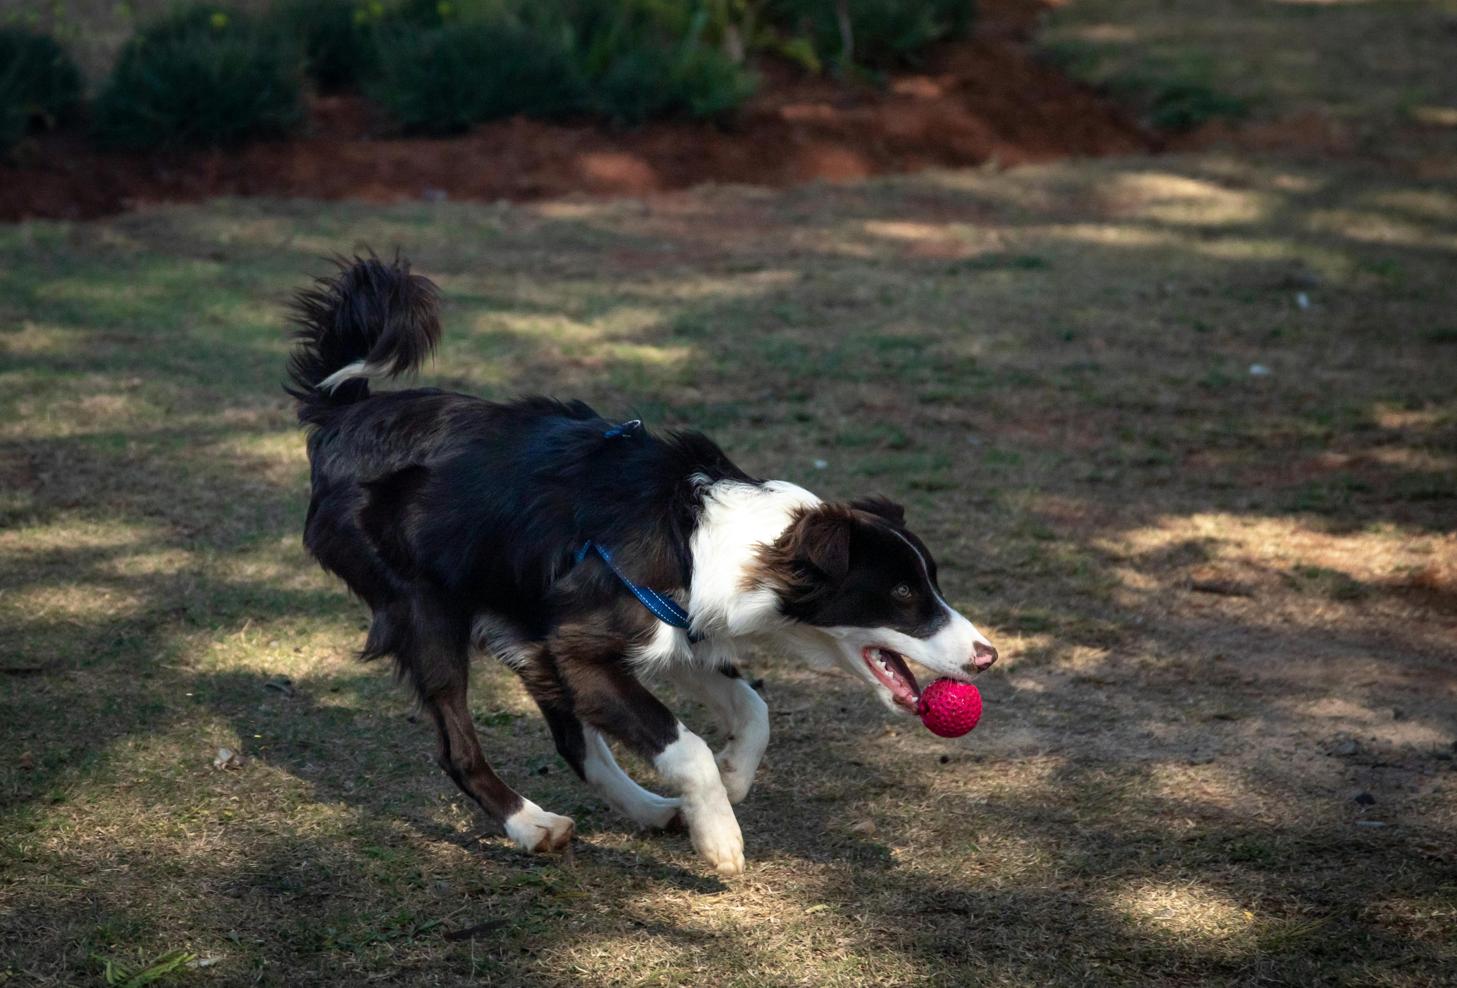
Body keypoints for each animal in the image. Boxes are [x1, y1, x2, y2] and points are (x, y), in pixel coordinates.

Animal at [289, 259, 996, 880]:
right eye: (902, 591)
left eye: (932, 582)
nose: (988, 656)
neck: (708, 540)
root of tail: (343, 413)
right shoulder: (582, 649)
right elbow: (686, 743)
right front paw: (721, 838)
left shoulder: (679, 632)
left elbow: (752, 709)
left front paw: (735, 776)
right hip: (426, 608)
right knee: (458, 746)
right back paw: (532, 824)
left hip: (521, 626)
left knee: (575, 743)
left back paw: (651, 811)